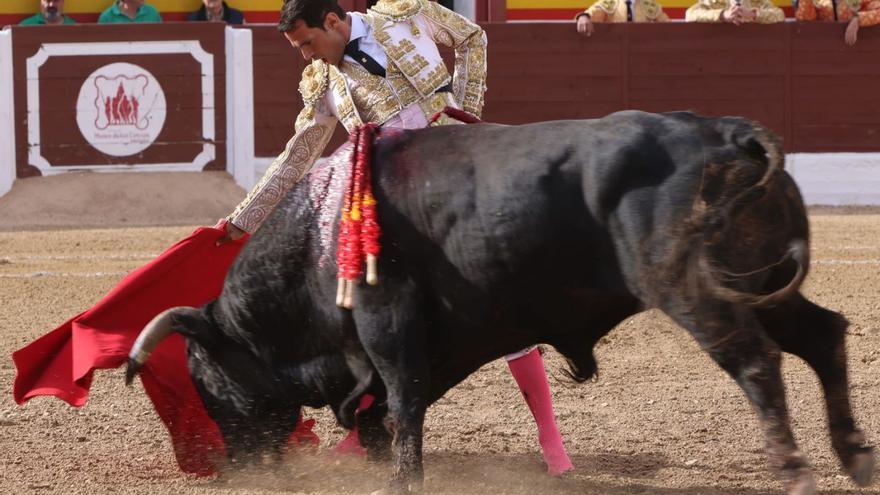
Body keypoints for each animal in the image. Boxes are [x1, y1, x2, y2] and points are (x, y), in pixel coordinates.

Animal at [124, 112, 872, 495]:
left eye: (202, 375)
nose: (231, 467)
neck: (317, 239)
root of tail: (728, 135)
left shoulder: (386, 323)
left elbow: (401, 403)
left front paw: (403, 482)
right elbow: (383, 411)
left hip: (695, 293)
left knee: (757, 363)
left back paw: (797, 472)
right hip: (761, 282)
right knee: (823, 335)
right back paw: (855, 457)